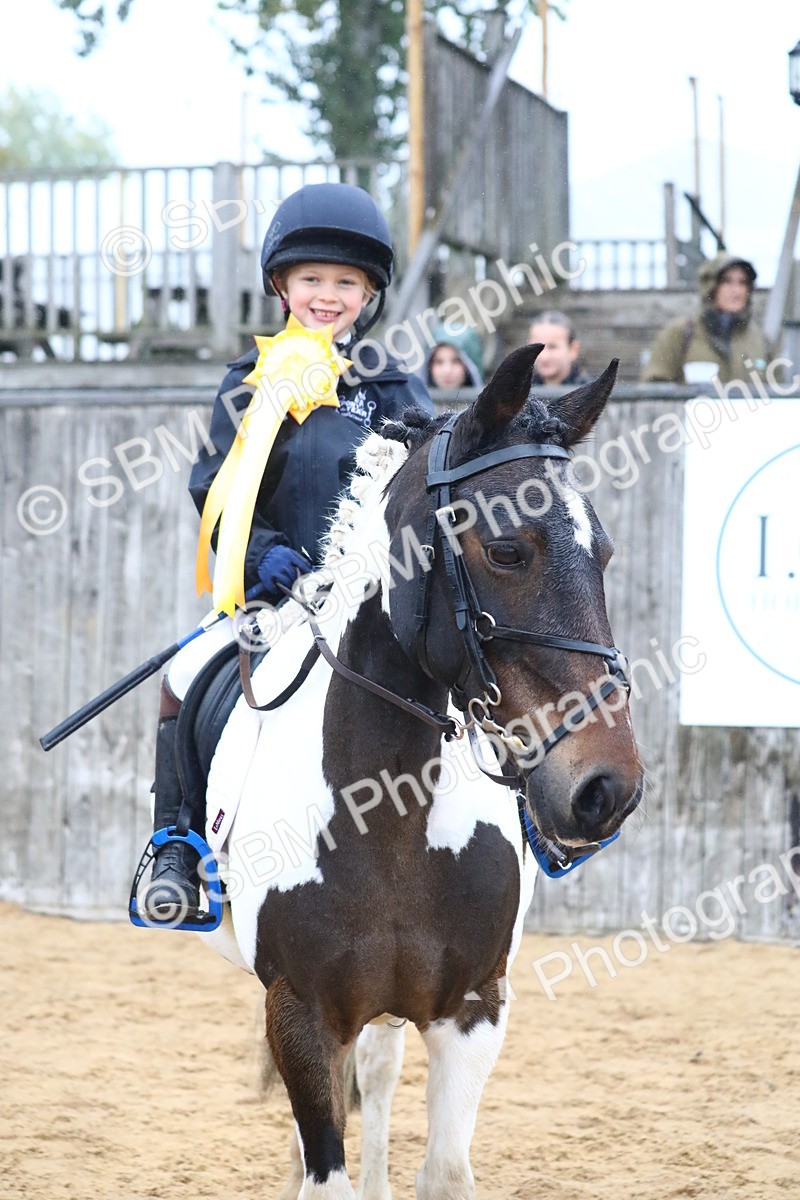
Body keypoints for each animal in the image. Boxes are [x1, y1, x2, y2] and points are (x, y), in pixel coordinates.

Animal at [186, 343, 643, 1199]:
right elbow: (323, 1167)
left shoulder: (473, 1010)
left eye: (601, 553)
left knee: (380, 1063)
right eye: (507, 549)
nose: (608, 789)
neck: (387, 811)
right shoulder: (301, 1012)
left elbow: (447, 1169)